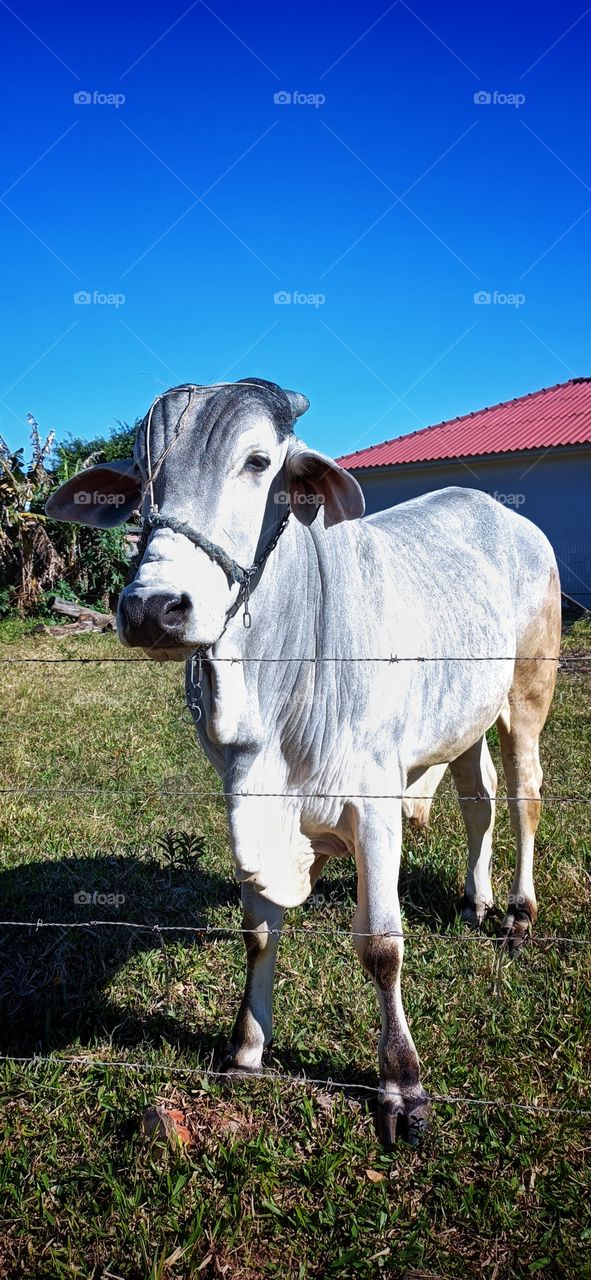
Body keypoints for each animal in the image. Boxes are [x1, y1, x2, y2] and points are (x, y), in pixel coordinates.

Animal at [46, 377, 561, 1146]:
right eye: (141, 474)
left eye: (259, 462)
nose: (152, 608)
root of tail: (503, 515)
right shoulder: (249, 798)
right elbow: (259, 932)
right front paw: (247, 1050)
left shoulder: (374, 803)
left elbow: (380, 945)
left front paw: (401, 1086)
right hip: (464, 720)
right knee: (479, 801)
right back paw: (476, 900)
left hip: (528, 691)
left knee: (525, 793)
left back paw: (519, 913)